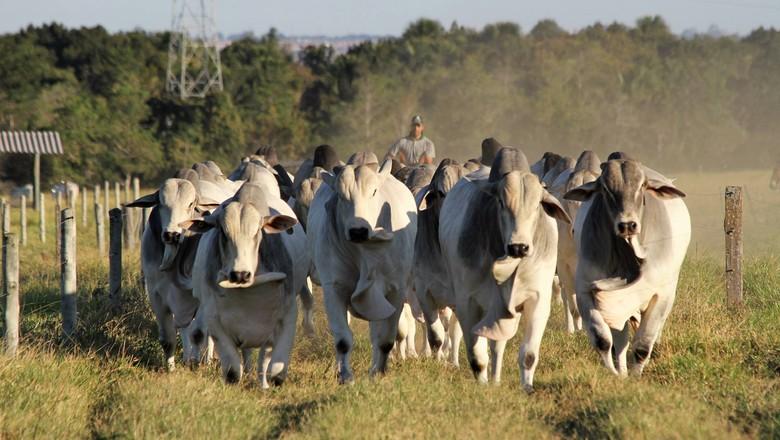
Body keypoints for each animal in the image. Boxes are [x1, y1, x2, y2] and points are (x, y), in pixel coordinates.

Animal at [308, 157, 418, 382]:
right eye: (341, 196)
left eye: (374, 191)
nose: (358, 230)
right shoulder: (334, 288)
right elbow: (342, 339)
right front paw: (345, 376)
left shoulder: (396, 291)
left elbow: (385, 339)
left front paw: (379, 373)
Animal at [438, 149, 568, 392]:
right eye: (500, 202)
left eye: (537, 205)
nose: (519, 247)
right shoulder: (468, 304)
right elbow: (477, 357)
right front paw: (482, 386)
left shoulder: (538, 300)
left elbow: (528, 354)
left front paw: (527, 388)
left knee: (497, 346)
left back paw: (497, 379)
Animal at [568, 157, 688, 374]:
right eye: (605, 189)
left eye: (642, 186)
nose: (627, 225)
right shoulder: (585, 290)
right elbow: (603, 340)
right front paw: (617, 374)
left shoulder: (662, 295)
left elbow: (643, 345)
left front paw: (636, 376)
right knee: (620, 341)